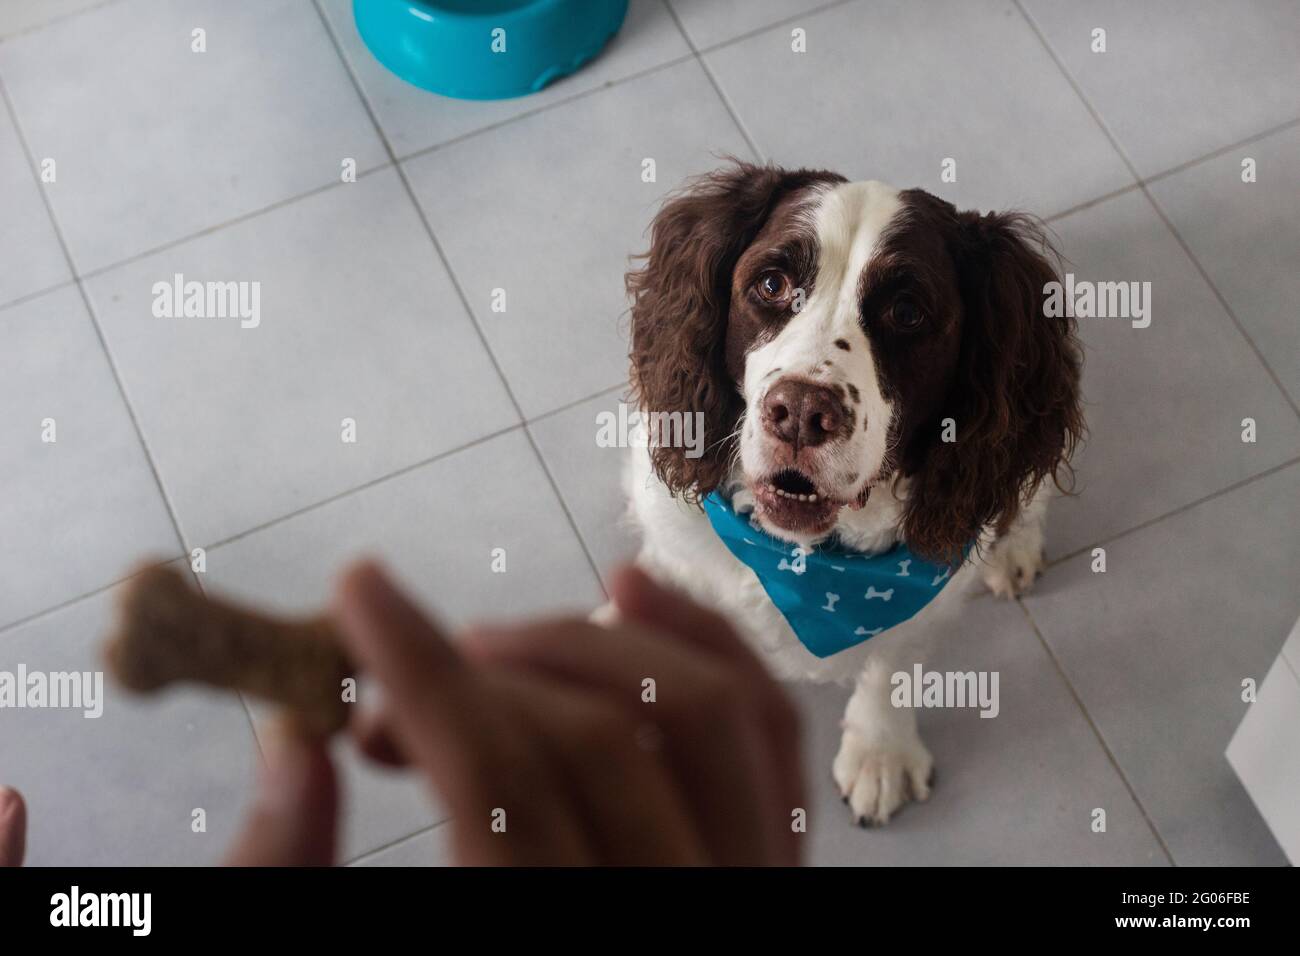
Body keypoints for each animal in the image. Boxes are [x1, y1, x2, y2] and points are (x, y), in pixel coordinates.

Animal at [613, 160, 1081, 827]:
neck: (801, 563)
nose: (801, 413)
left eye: (907, 312)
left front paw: (879, 753)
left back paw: (1015, 551)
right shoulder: (675, 549)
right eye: (772, 283)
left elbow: (891, 665)